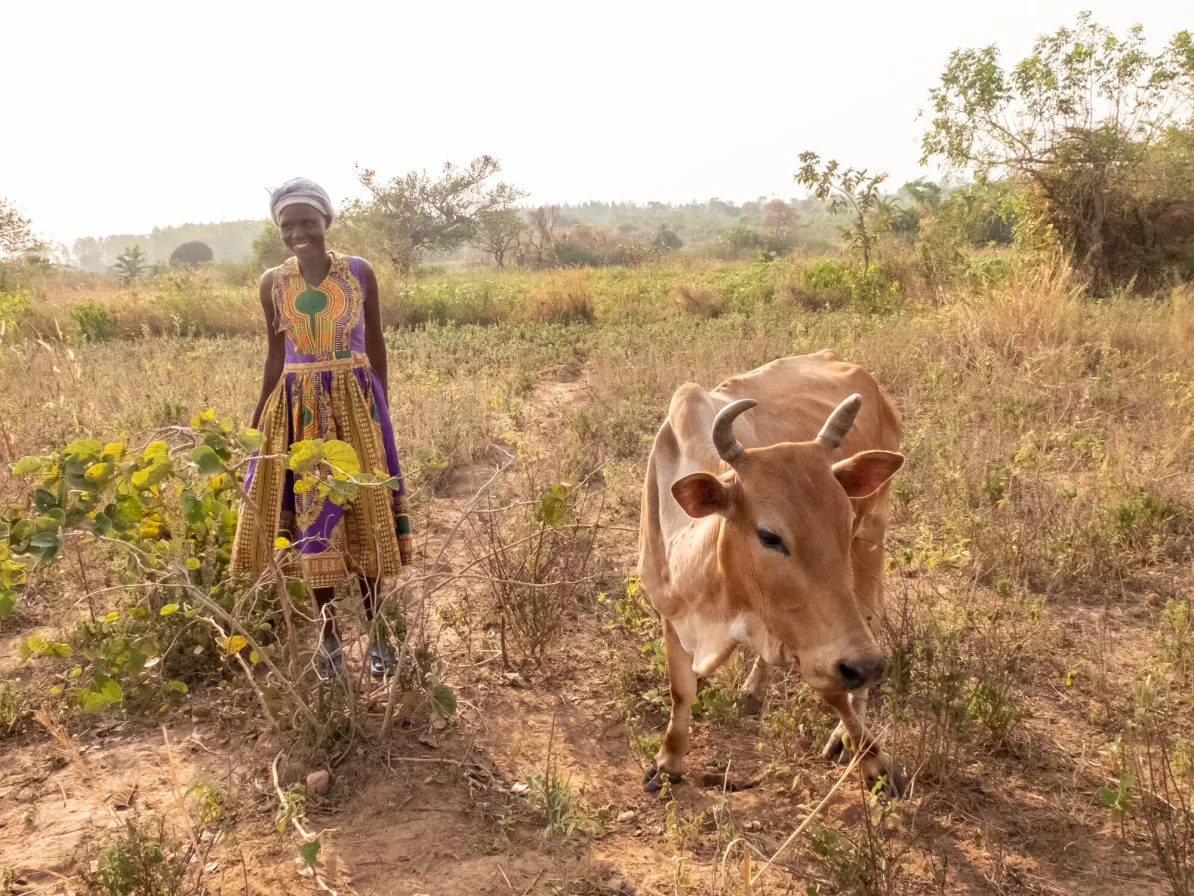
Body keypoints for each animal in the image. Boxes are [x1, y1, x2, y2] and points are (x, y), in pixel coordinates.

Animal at [635, 353, 902, 798]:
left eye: (844, 520)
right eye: (769, 536)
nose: (863, 665)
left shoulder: (819, 641)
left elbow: (834, 693)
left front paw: (874, 760)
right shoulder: (671, 611)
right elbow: (681, 689)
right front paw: (667, 762)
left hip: (873, 535)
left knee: (870, 616)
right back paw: (755, 691)